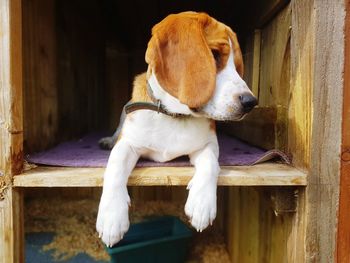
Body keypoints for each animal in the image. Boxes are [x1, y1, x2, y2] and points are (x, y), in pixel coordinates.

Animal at [95, 11, 258, 248]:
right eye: (214, 54)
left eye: (237, 67)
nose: (250, 102)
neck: (173, 116)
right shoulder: (128, 144)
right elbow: (115, 167)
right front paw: (111, 216)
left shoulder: (207, 145)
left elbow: (211, 164)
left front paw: (202, 203)